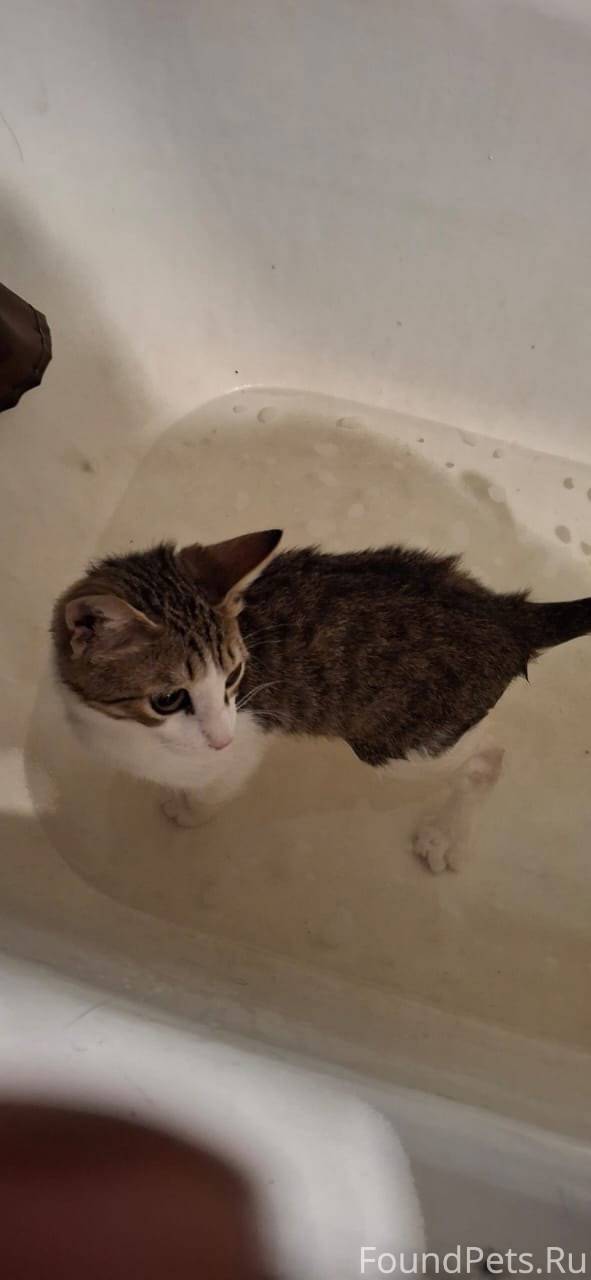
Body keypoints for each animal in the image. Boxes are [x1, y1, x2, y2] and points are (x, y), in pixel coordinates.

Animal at [51, 529, 591, 872]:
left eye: (235, 676)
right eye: (168, 699)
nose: (219, 739)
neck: (125, 731)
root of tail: (507, 617)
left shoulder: (247, 739)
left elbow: (214, 788)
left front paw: (187, 809)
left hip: (402, 744)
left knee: (489, 755)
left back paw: (446, 833)